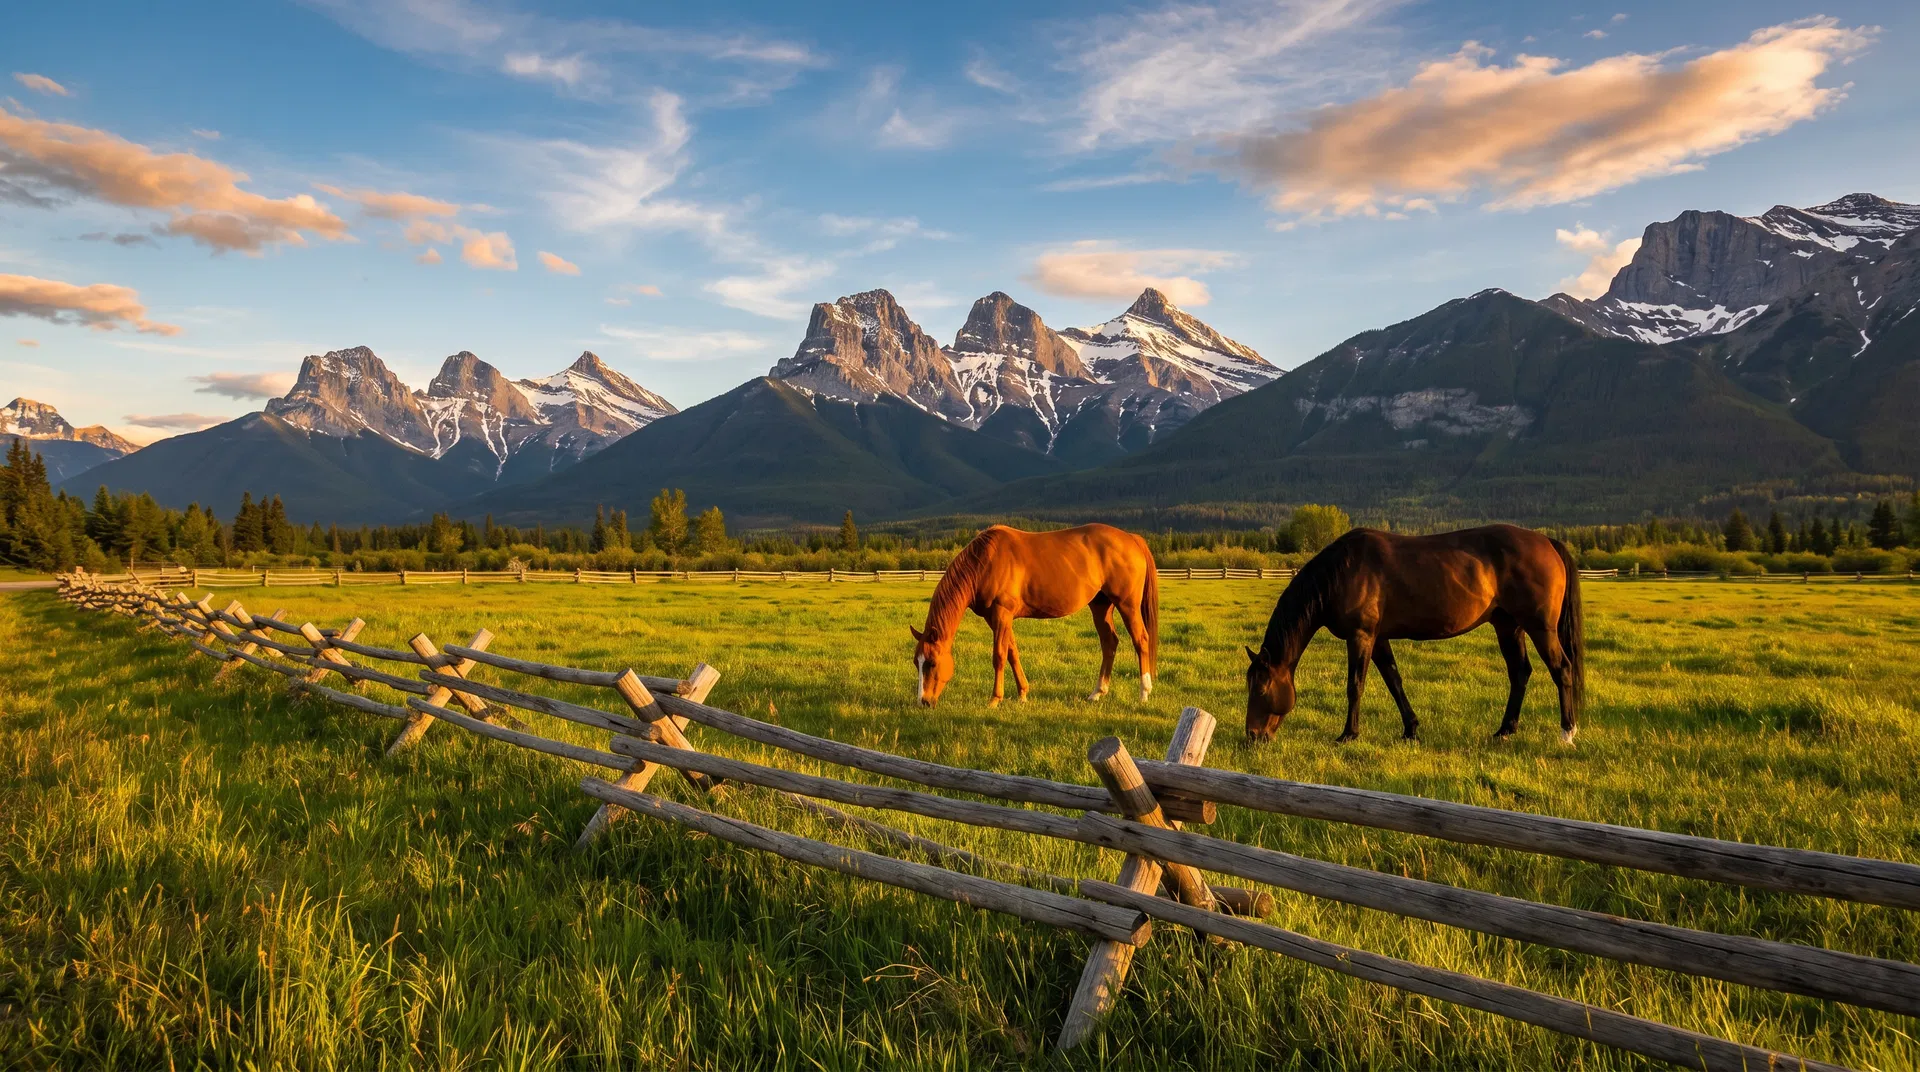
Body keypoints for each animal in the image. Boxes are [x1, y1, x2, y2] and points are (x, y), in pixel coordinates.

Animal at [911, 524, 1158, 707]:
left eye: (931, 663)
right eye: (916, 662)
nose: (923, 701)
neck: (985, 562)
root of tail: (1131, 538)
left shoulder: (1001, 614)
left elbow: (999, 655)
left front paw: (995, 699)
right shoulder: (996, 618)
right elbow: (1012, 653)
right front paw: (1022, 693)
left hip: (1127, 605)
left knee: (1141, 640)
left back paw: (1144, 693)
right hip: (1100, 605)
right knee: (1109, 643)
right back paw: (1097, 693)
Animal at [1245, 524, 1584, 744]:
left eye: (1260, 689)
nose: (1252, 736)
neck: (1341, 572)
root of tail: (1546, 541)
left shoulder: (1361, 636)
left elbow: (1355, 685)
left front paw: (1348, 734)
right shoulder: (1378, 638)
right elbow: (1394, 681)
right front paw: (1411, 729)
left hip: (1540, 627)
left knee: (1562, 669)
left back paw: (1567, 732)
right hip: (1508, 626)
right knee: (1520, 673)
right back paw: (1505, 730)